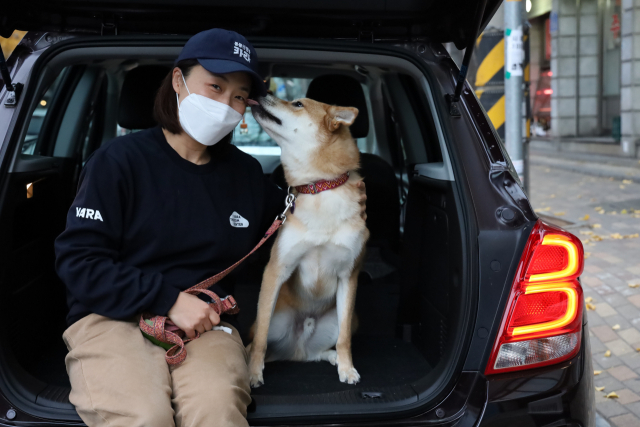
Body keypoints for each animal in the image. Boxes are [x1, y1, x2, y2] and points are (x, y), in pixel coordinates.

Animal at [248, 95, 372, 390]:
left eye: (297, 104)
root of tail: (296, 350)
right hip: (273, 320)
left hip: (344, 319)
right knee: (259, 341)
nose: (263, 92)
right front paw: (253, 374)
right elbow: (259, 341)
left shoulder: (348, 276)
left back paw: (332, 358)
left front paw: (347, 368)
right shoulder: (276, 270)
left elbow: (345, 340)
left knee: (318, 351)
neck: (319, 188)